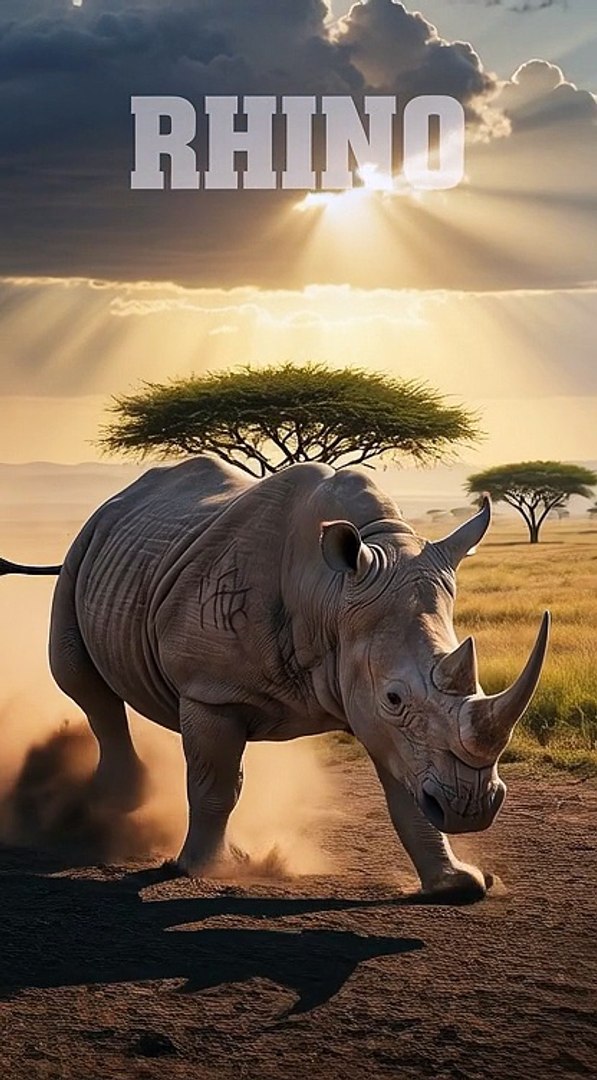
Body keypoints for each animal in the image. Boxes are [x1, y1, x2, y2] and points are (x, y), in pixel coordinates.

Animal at [1, 457, 549, 901]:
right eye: (395, 697)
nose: (470, 808)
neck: (331, 593)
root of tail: (118, 501)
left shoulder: (373, 707)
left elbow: (406, 790)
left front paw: (458, 885)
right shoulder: (213, 691)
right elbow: (215, 784)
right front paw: (205, 869)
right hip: (83, 549)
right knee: (82, 682)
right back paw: (116, 803)